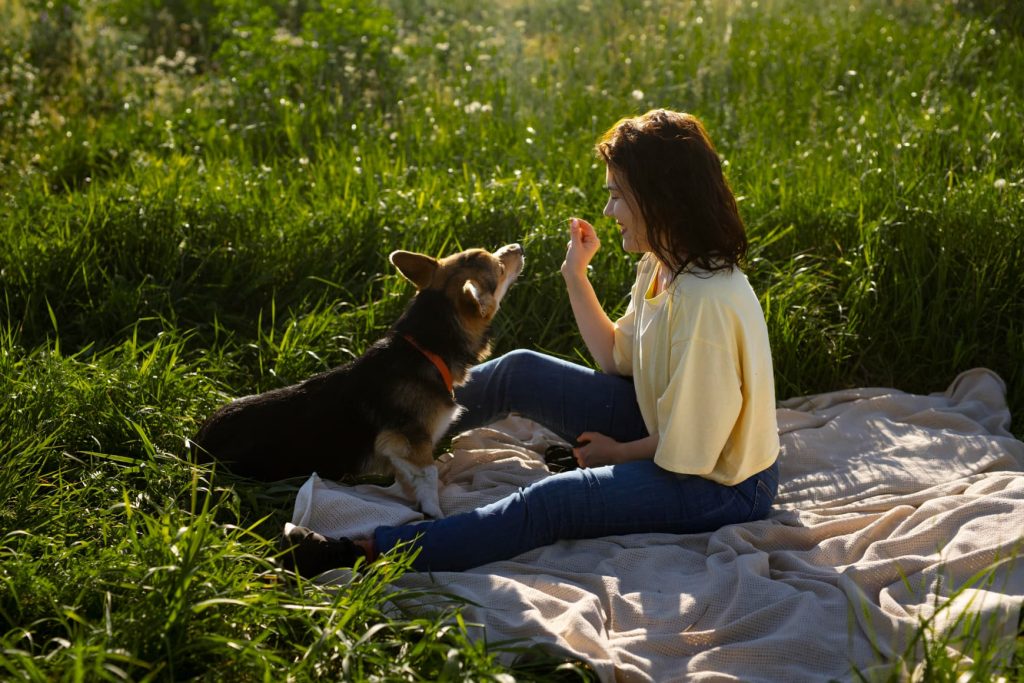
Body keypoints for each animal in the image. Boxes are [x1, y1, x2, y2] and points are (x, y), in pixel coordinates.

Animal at [192, 242, 524, 516]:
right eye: (498, 266)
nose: (518, 247)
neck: (426, 347)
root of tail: (196, 446)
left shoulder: (398, 451)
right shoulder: (411, 442)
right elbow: (429, 479)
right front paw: (435, 515)